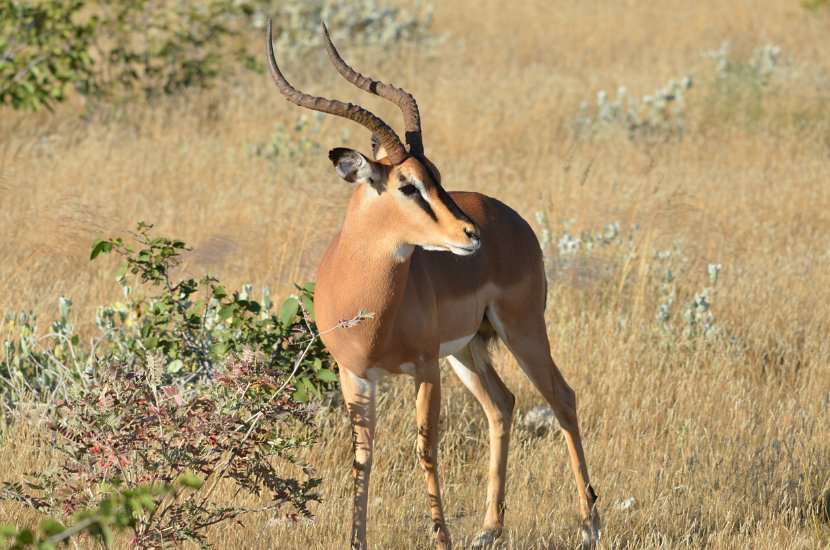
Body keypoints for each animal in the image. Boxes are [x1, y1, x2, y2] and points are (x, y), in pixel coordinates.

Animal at [265, 21, 601, 549]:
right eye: (408, 185)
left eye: (437, 176)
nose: (471, 234)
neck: (370, 308)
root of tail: (511, 217)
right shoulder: (355, 375)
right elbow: (361, 460)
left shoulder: (424, 368)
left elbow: (426, 449)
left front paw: (440, 537)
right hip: (467, 349)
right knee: (501, 404)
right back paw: (489, 529)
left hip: (521, 330)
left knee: (562, 398)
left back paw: (590, 523)